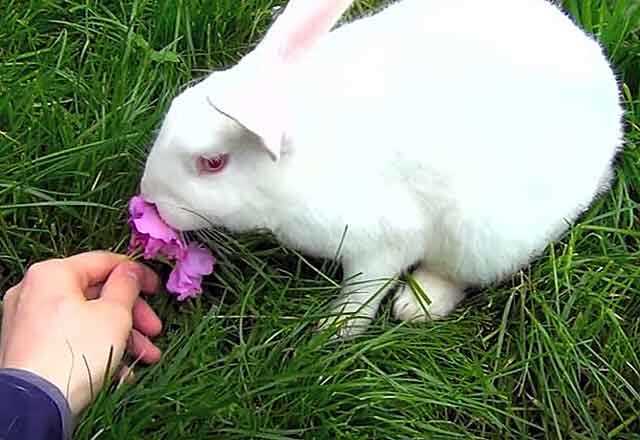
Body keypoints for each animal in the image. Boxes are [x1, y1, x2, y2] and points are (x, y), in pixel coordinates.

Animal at [141, 0, 624, 336]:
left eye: (212, 163)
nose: (150, 200)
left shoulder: (382, 242)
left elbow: (363, 289)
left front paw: (334, 333)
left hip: (485, 237)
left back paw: (418, 305)